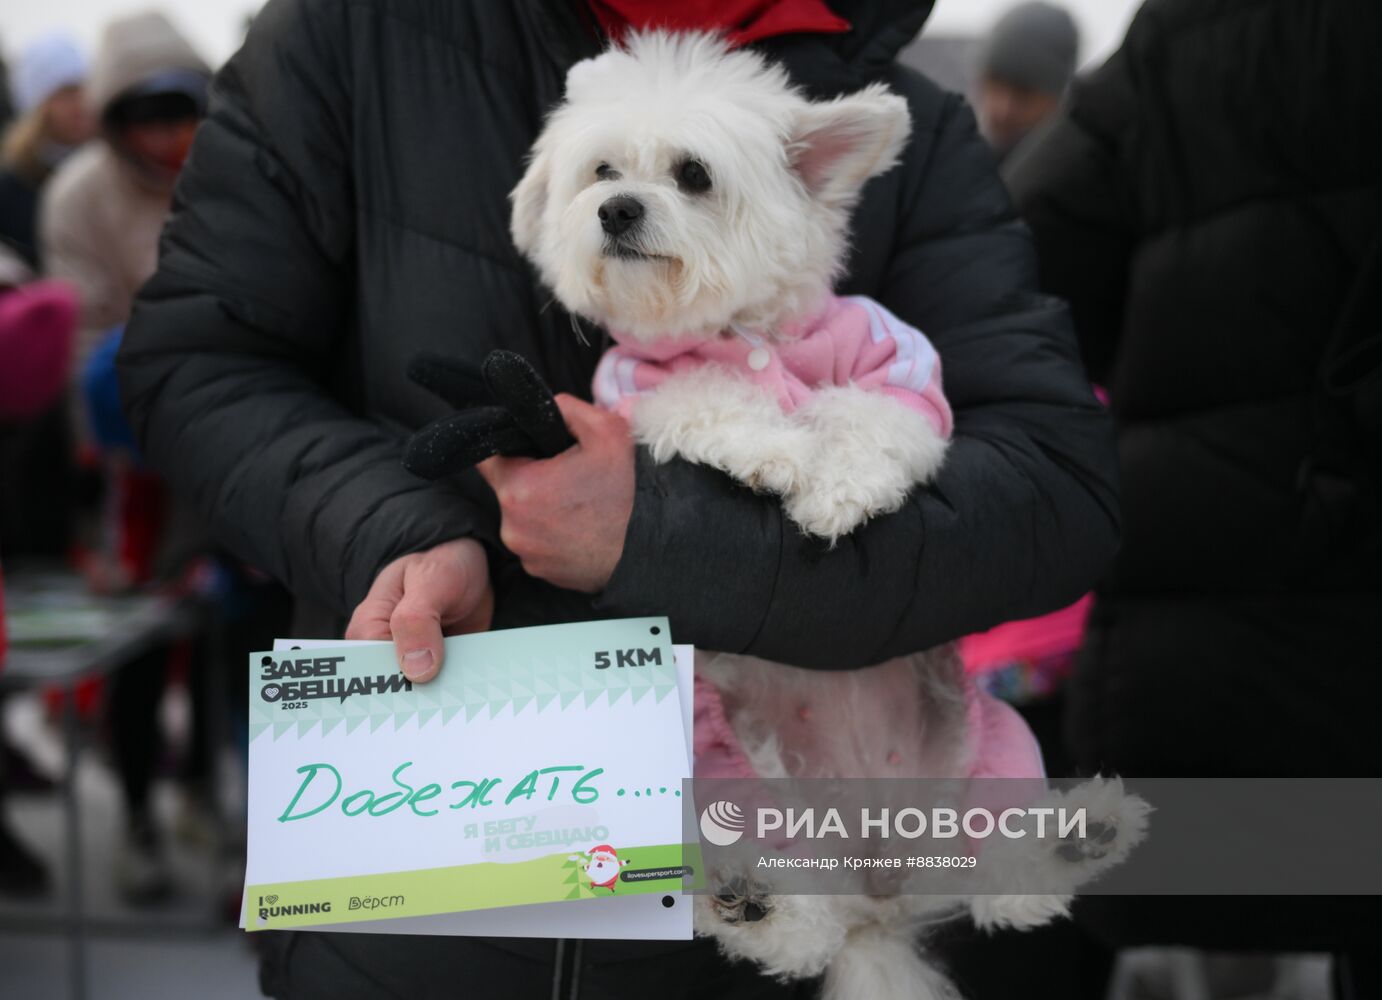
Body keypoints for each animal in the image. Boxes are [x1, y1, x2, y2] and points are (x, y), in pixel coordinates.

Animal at [508, 31, 1144, 1000]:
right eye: (602, 170)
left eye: (692, 174)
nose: (615, 209)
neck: (746, 330)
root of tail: (878, 883)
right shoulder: (638, 389)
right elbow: (706, 395)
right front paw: (775, 453)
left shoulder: (905, 377)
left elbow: (868, 418)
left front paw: (834, 485)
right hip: (725, 775)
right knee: (803, 929)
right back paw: (754, 901)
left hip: (993, 748)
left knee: (1007, 886)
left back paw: (1080, 838)